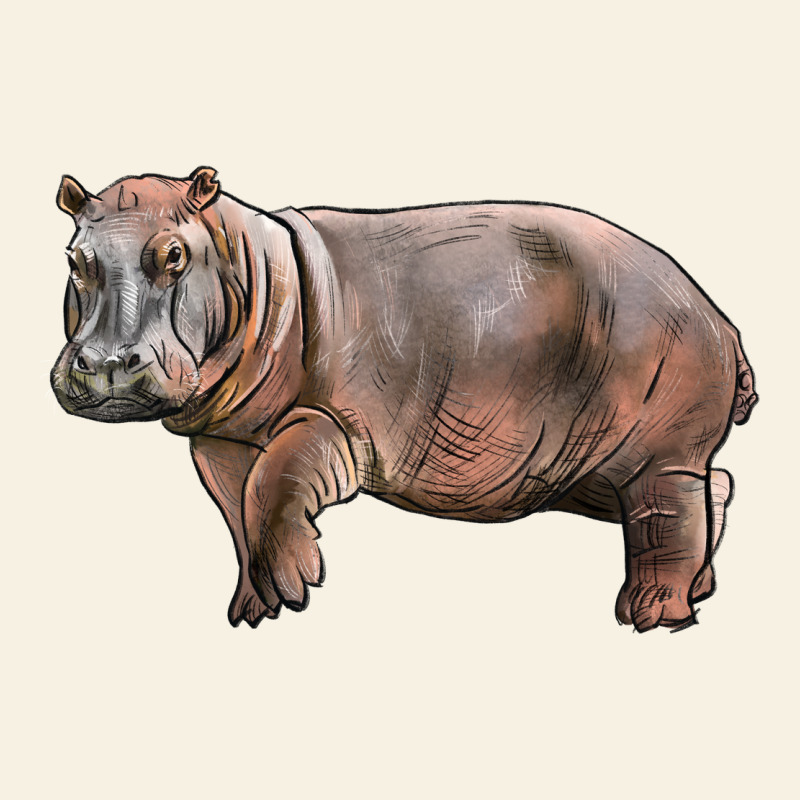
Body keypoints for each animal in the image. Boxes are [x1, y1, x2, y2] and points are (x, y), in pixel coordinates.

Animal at [51, 167, 757, 632]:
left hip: (658, 449)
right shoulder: (221, 438)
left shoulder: (333, 421)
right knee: (712, 489)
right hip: (588, 468)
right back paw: (699, 591)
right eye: (73, 257)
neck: (244, 259)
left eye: (174, 253)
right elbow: (238, 510)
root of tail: (720, 317)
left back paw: (650, 617)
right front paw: (253, 611)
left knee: (668, 513)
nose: (107, 364)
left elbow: (273, 484)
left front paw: (294, 589)